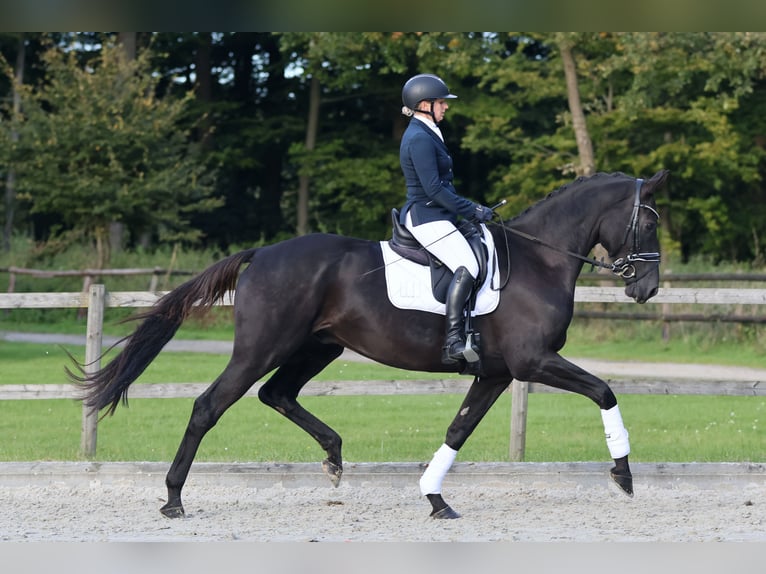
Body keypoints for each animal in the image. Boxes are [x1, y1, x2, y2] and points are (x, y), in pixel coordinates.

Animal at [75, 169, 668, 520]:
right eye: (649, 223)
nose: (647, 288)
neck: (538, 260)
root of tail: (263, 252)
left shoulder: (496, 373)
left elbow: (458, 430)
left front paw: (435, 498)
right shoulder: (533, 362)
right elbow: (605, 391)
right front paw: (623, 475)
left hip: (318, 347)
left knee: (277, 395)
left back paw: (335, 457)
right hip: (262, 348)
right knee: (209, 406)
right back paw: (174, 498)